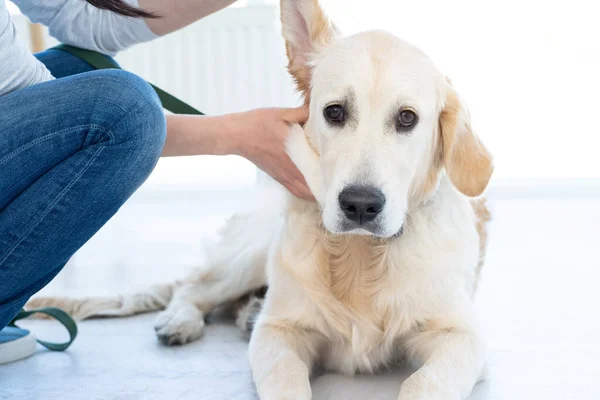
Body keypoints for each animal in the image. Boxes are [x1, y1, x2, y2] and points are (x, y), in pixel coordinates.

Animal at [28, 1, 494, 398]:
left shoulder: (460, 337)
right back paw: (182, 320)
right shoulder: (278, 332)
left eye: (407, 119)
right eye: (335, 112)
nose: (360, 205)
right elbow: (285, 377)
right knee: (193, 287)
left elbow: (423, 382)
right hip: (249, 255)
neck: (360, 258)